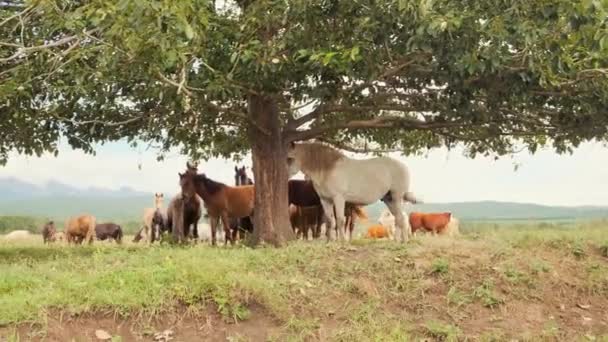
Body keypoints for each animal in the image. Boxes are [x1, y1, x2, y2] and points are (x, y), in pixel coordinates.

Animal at [288, 142, 420, 243]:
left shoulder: (339, 198)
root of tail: (403, 166)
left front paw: (342, 241)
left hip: (397, 197)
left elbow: (340, 220)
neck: (328, 169)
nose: (286, 178)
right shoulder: (325, 200)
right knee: (399, 218)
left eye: (290, 158)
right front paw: (330, 241)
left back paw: (401, 241)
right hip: (389, 199)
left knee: (401, 218)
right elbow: (330, 221)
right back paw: (400, 241)